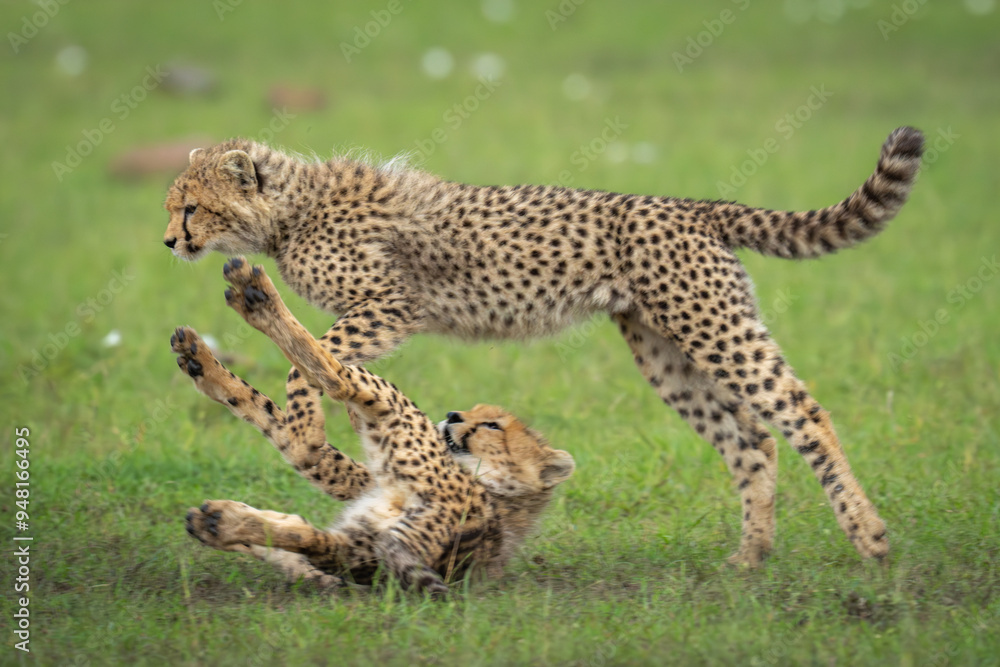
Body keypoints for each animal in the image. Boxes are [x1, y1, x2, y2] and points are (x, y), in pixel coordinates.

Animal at [176, 257, 575, 593]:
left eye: (492, 425)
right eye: (472, 410)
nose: (452, 416)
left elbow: (315, 406)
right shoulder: (360, 481)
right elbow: (277, 422)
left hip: (394, 418)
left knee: (336, 374)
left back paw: (254, 296)